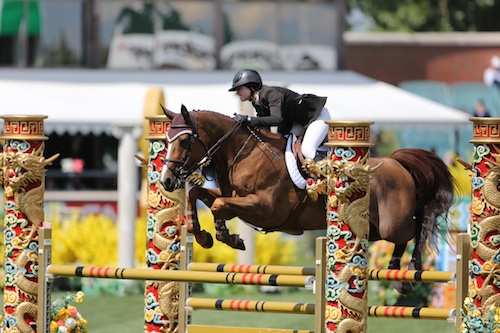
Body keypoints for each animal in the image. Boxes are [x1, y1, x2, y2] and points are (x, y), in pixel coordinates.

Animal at [159, 104, 454, 294]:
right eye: (166, 139)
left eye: (183, 141)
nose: (166, 181)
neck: (243, 152)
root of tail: (396, 162)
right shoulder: (234, 196)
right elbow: (199, 196)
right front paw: (207, 236)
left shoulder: (265, 209)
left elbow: (219, 206)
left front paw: (225, 236)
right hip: (375, 228)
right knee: (406, 233)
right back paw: (397, 275)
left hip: (392, 224)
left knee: (417, 227)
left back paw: (409, 271)